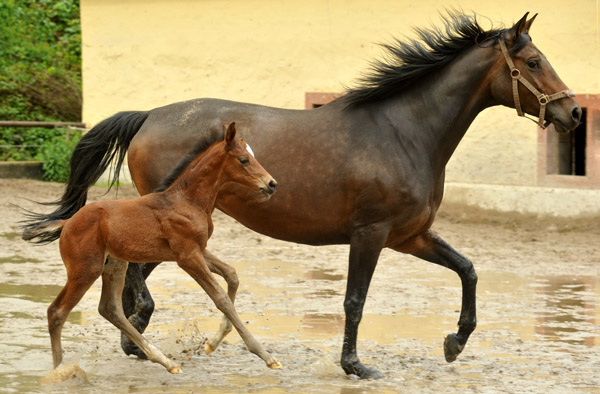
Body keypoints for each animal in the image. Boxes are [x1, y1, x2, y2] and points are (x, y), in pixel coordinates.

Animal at [21, 124, 278, 374]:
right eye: (244, 159)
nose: (271, 184)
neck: (186, 201)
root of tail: (67, 223)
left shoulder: (198, 249)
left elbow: (232, 275)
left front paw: (213, 343)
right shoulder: (188, 257)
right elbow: (221, 298)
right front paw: (266, 356)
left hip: (115, 265)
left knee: (110, 308)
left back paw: (165, 361)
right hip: (85, 270)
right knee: (57, 312)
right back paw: (59, 371)